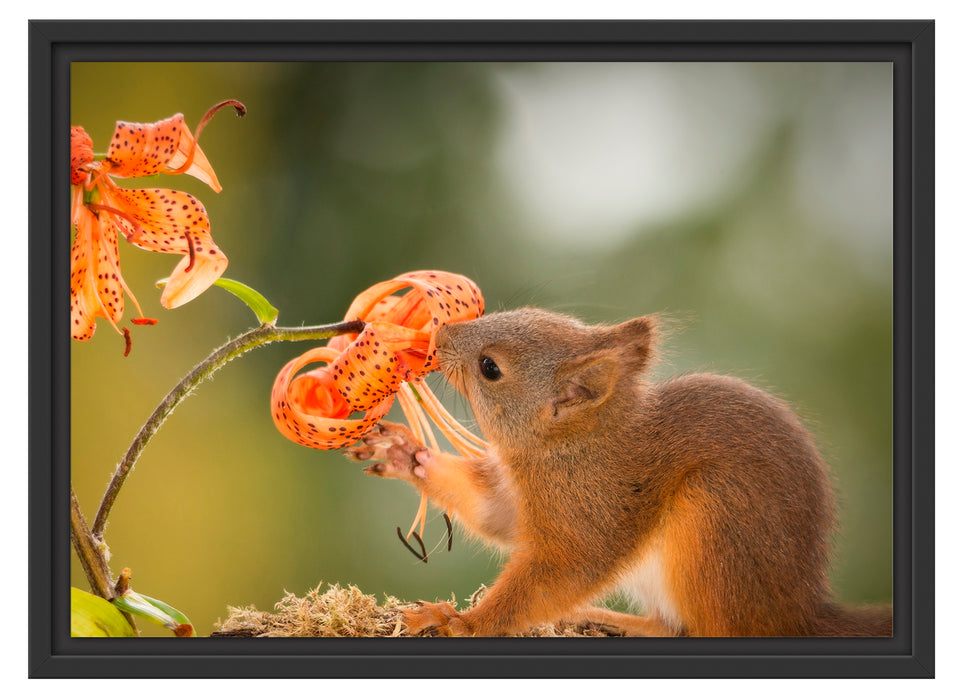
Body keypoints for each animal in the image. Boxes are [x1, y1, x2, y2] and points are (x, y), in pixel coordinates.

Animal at [348, 308, 896, 636]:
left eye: (490, 368)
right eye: (520, 312)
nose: (438, 335)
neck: (571, 446)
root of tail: (798, 614)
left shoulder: (592, 507)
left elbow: (561, 572)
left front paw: (461, 622)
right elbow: (495, 515)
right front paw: (406, 454)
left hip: (716, 521)